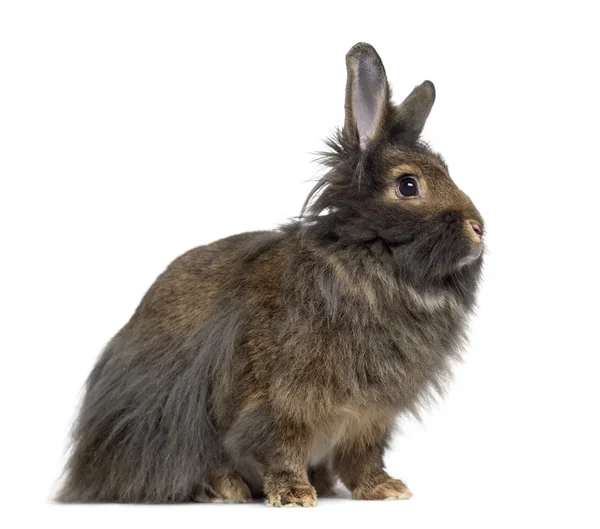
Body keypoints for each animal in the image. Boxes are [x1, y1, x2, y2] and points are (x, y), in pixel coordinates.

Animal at [58, 40, 486, 504]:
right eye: (408, 185)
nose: (479, 228)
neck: (370, 267)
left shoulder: (370, 417)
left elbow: (362, 458)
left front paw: (386, 489)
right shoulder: (279, 404)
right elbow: (282, 448)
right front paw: (294, 495)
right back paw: (227, 488)